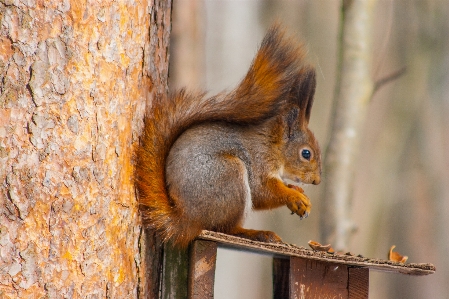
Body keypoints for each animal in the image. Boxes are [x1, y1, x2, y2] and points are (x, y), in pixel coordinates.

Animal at [135, 25, 320, 248]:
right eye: (306, 153)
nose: (317, 181)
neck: (272, 144)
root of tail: (186, 219)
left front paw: (296, 189)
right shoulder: (259, 161)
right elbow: (262, 191)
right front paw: (294, 196)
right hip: (229, 177)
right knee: (225, 228)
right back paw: (256, 233)